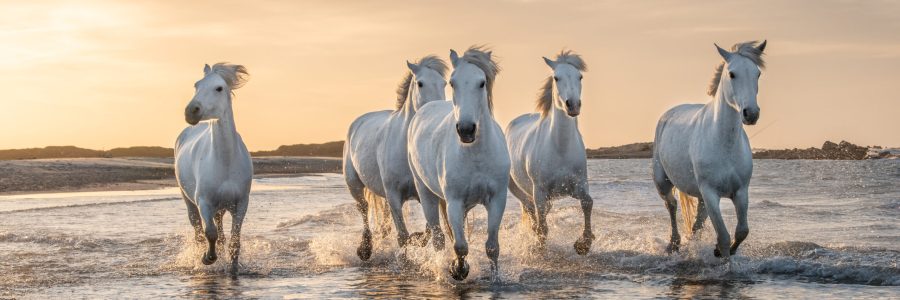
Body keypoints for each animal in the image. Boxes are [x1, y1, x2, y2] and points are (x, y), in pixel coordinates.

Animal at [176, 62, 253, 274]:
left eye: (219, 88)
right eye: (196, 85)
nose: (191, 111)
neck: (225, 162)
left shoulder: (241, 204)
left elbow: (234, 242)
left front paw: (233, 269)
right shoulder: (204, 201)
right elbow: (209, 233)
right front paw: (208, 258)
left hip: (220, 207)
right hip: (189, 202)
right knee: (198, 231)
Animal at [342, 55, 446, 260]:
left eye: (444, 83)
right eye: (420, 83)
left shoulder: (424, 194)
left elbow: (427, 230)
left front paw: (417, 239)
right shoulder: (394, 195)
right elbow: (402, 236)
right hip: (354, 185)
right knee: (364, 209)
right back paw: (365, 249)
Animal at [410, 47, 510, 282]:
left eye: (482, 82)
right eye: (452, 83)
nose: (466, 129)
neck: (476, 155)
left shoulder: (497, 199)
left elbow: (492, 247)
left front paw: (495, 279)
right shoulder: (454, 202)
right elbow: (460, 245)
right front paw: (458, 270)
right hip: (426, 194)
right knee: (438, 237)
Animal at [506, 50, 596, 254]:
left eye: (580, 76)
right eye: (556, 78)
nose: (573, 105)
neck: (560, 149)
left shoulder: (579, 185)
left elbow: (588, 202)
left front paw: (583, 244)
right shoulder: (539, 192)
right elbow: (542, 227)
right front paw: (539, 249)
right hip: (520, 190)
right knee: (531, 213)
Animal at [652, 40, 768, 258]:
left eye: (757, 74)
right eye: (732, 74)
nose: (751, 114)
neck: (724, 144)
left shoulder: (741, 192)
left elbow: (741, 231)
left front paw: (719, 251)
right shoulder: (710, 193)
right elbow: (723, 237)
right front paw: (723, 258)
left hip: (701, 196)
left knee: (697, 222)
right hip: (663, 182)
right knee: (671, 206)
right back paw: (674, 244)